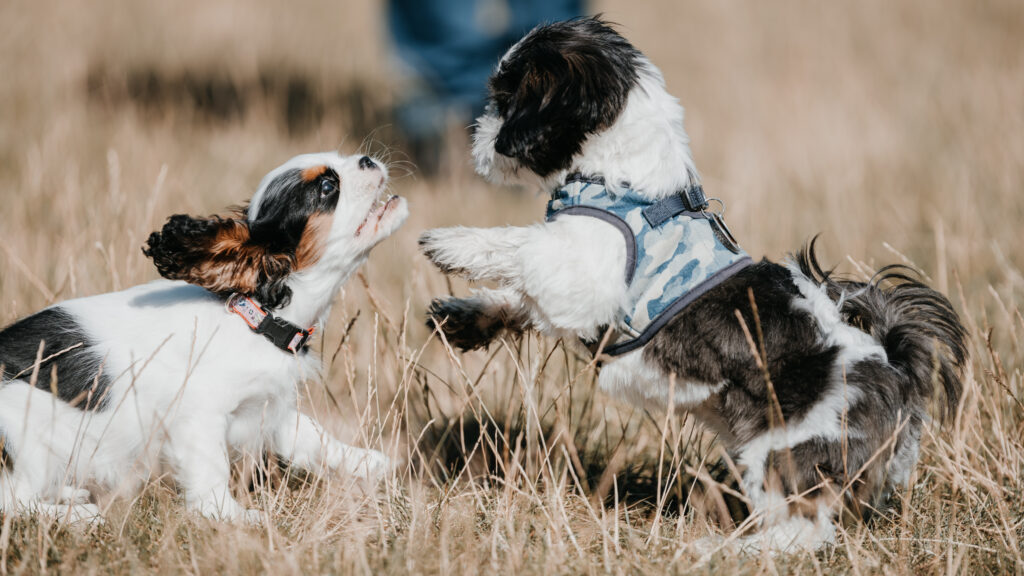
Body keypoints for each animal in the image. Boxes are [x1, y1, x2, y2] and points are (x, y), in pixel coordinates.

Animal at [0, 150, 407, 522]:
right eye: (326, 187)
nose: (367, 159)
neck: (256, 317)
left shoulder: (267, 406)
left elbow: (309, 433)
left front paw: (365, 461)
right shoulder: (199, 415)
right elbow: (212, 469)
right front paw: (232, 515)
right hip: (27, 436)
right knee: (13, 502)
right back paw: (76, 516)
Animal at [417, 17, 966, 549]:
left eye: (506, 99)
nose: (481, 131)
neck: (621, 182)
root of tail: (893, 366)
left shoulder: (582, 272)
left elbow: (518, 246)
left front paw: (450, 242)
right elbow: (516, 299)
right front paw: (465, 318)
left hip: (785, 451)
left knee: (803, 528)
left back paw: (729, 551)